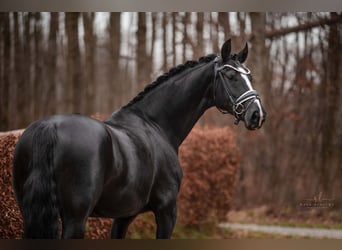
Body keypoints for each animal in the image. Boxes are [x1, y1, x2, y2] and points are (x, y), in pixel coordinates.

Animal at [12, 40, 264, 239]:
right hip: (75, 219)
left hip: (30, 213)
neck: (155, 124)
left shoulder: (124, 216)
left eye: (250, 76)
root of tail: (49, 127)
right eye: (230, 76)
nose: (257, 114)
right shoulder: (166, 211)